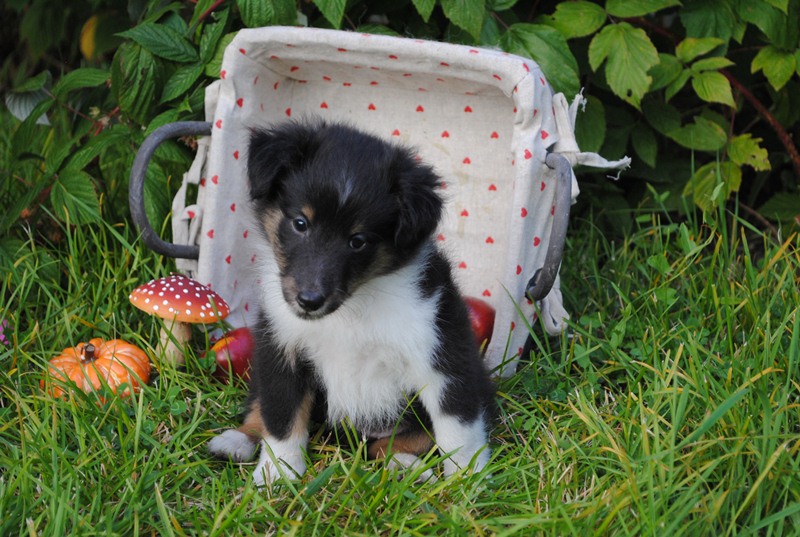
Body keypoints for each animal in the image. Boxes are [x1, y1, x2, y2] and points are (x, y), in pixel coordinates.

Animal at [206, 118, 494, 486]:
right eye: (300, 223)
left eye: (358, 241)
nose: (309, 301)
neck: (351, 308)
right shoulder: (282, 349)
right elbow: (282, 416)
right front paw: (277, 474)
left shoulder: (442, 353)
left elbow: (458, 428)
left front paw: (468, 481)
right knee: (261, 406)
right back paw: (237, 441)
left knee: (392, 443)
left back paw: (407, 467)